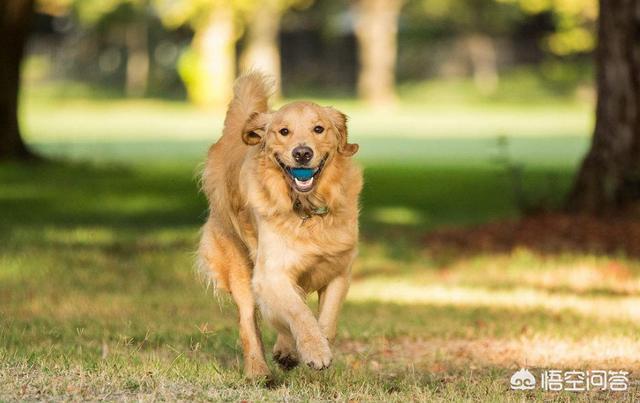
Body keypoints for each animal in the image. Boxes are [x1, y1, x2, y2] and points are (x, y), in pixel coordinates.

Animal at [198, 70, 362, 378]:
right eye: (284, 132)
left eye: (319, 129)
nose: (302, 153)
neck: (307, 210)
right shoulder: (271, 273)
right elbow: (299, 312)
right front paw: (315, 350)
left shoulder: (339, 269)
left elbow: (326, 319)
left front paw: (316, 344)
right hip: (239, 264)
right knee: (248, 320)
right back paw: (258, 370)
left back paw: (286, 351)